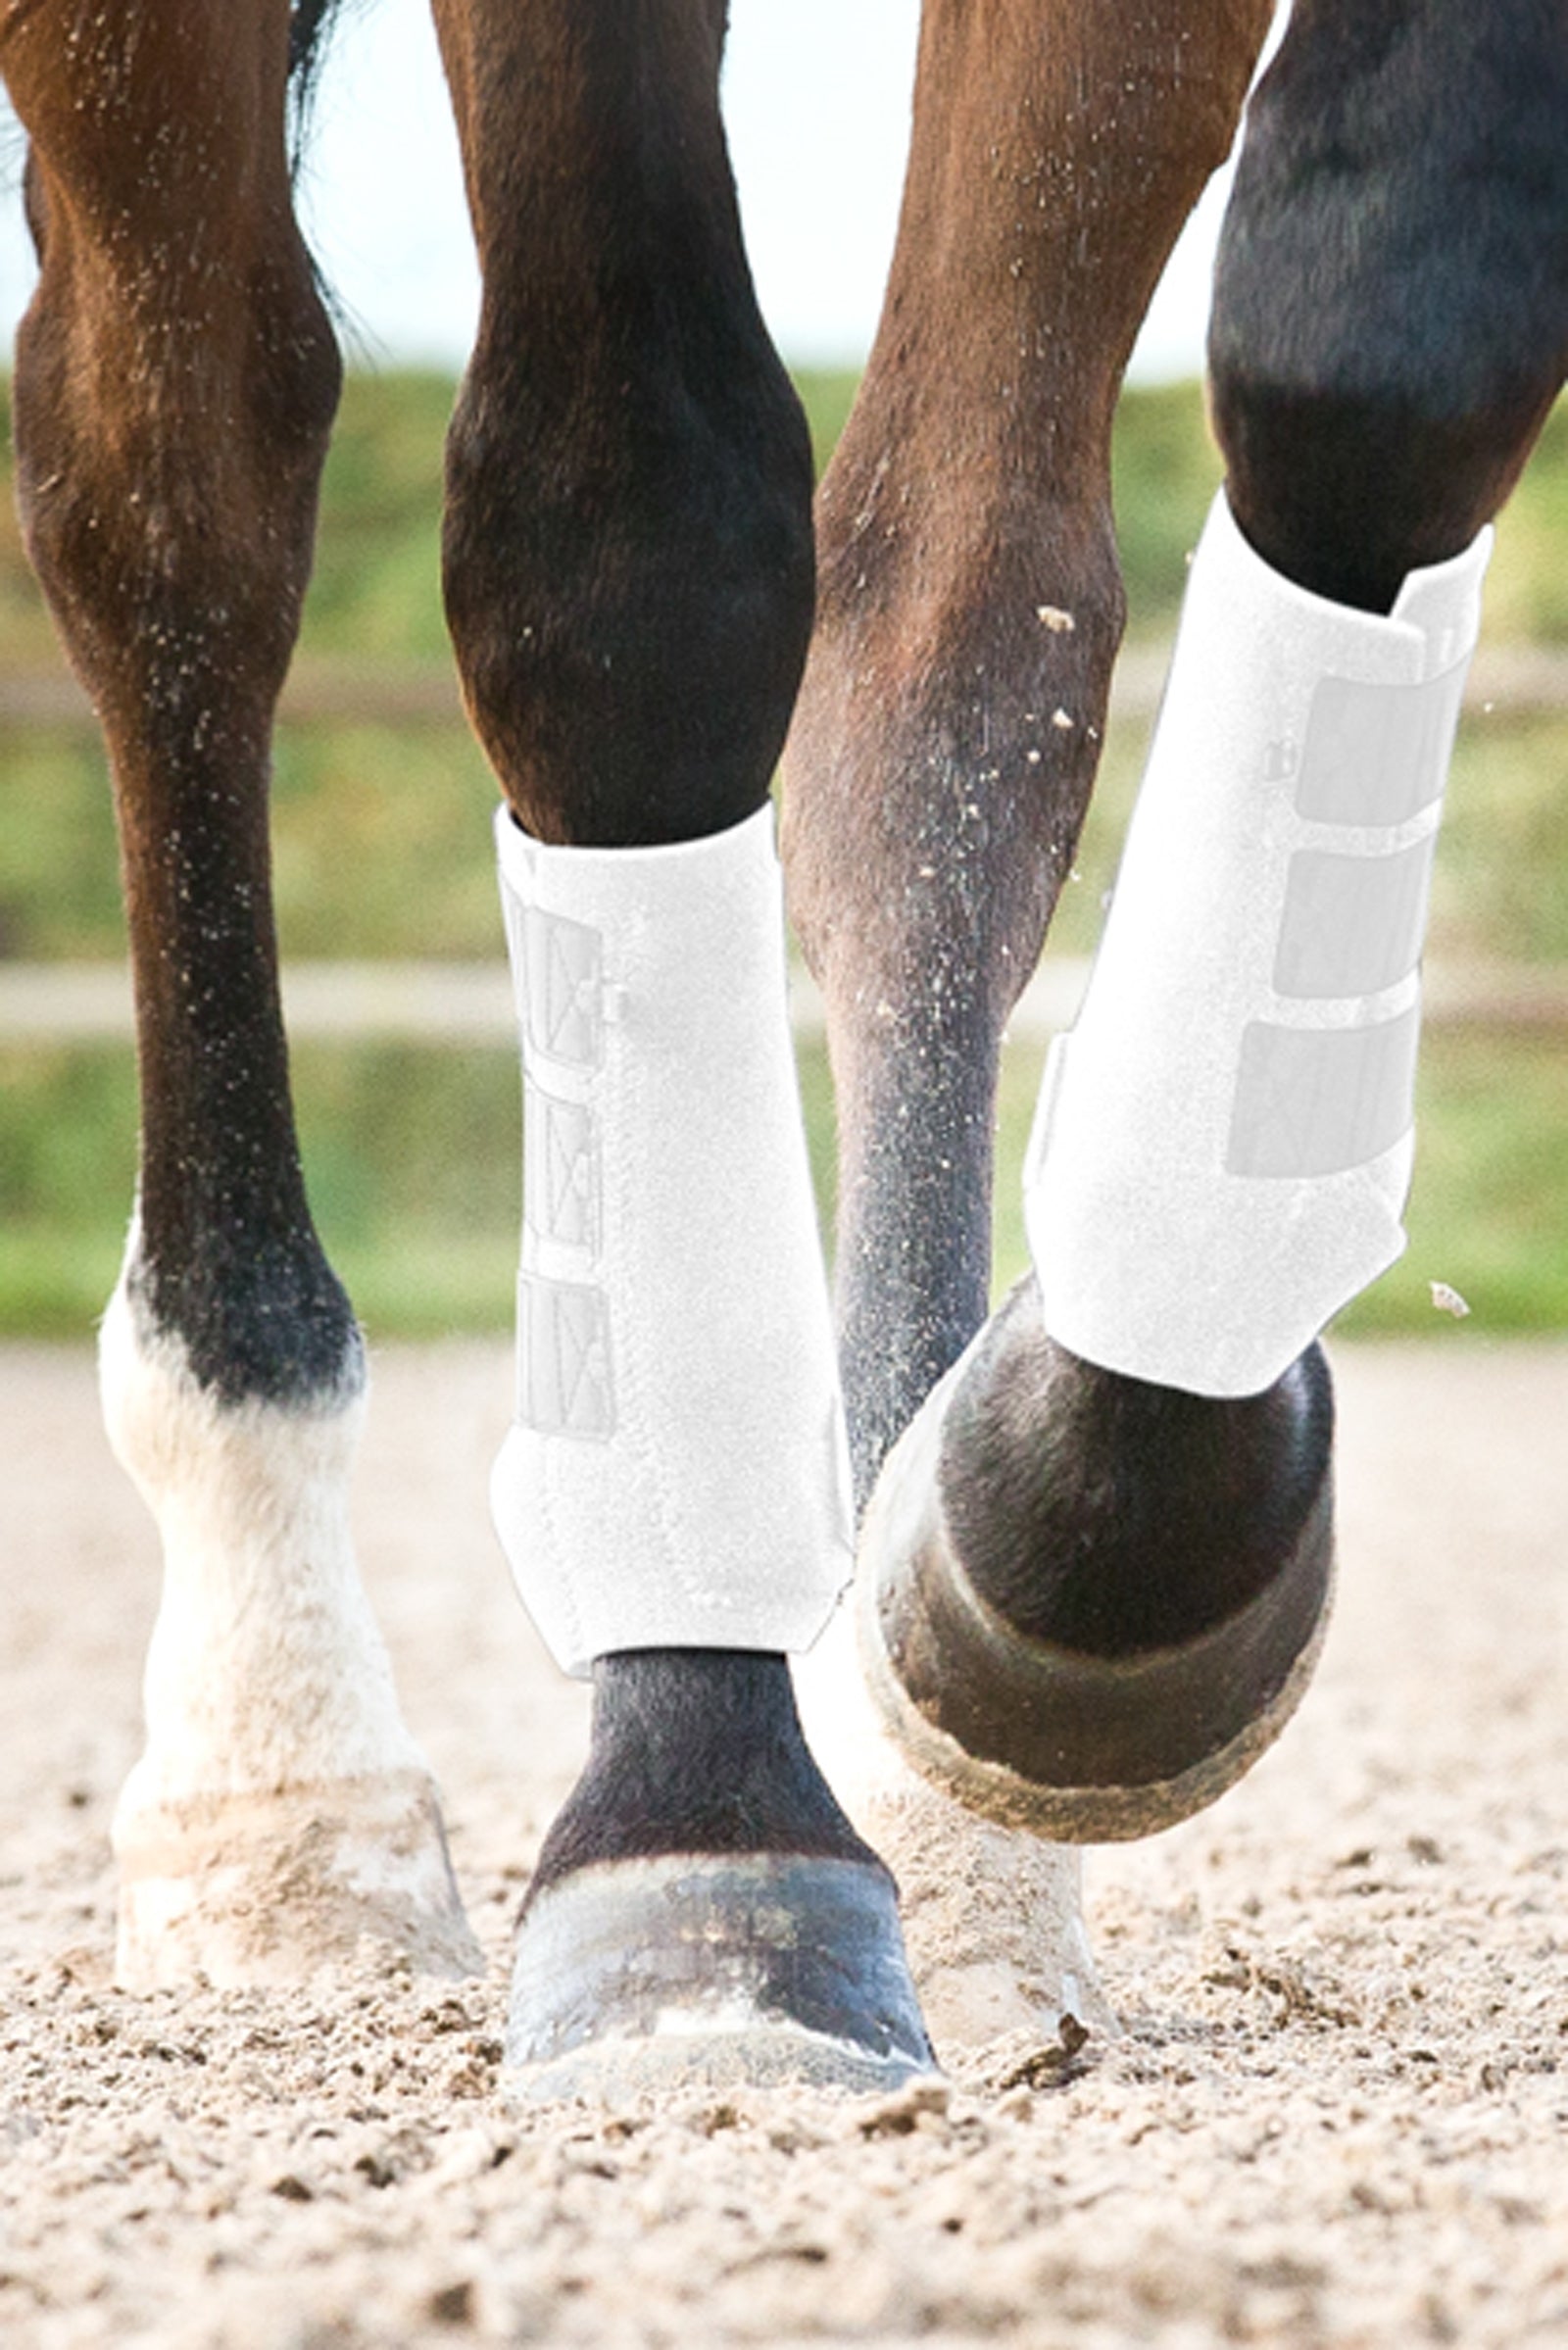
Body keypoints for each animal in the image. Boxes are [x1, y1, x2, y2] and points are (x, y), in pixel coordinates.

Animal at [3, 0, 1563, 2096]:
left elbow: (1371, 345)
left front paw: (1062, 1533)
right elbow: (627, 559)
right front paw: (705, 1815)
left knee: (935, 625)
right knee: (178, 482)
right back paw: (279, 1783)